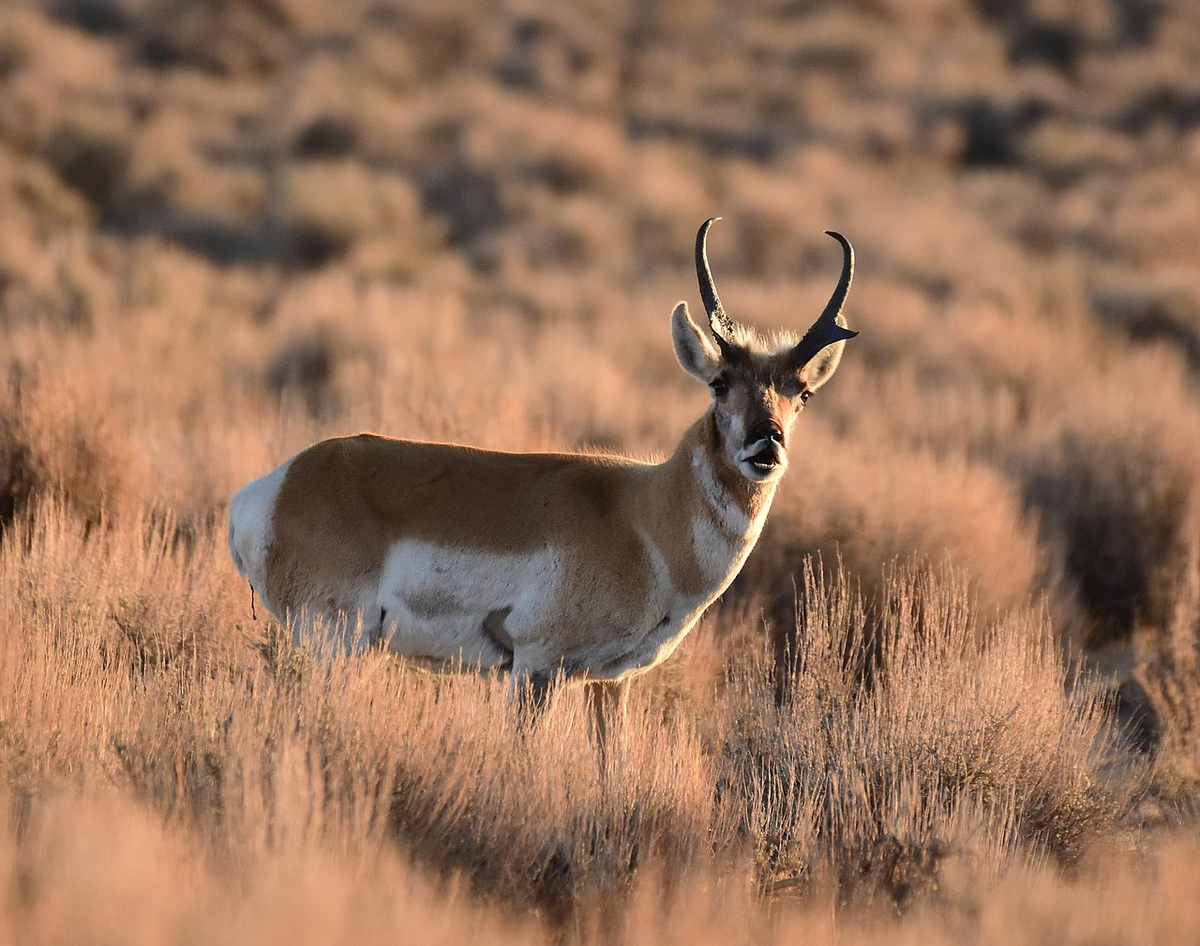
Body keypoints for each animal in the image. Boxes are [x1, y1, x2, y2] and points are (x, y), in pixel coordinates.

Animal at [229, 219, 854, 725]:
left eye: (801, 393)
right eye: (720, 383)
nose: (766, 444)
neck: (643, 516)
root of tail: (272, 486)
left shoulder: (612, 684)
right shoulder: (536, 668)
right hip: (337, 642)